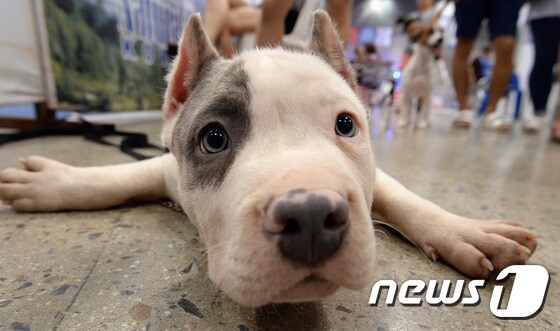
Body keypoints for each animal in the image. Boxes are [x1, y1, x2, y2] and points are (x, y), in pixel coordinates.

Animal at [0, 12, 536, 308]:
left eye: (346, 125)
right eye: (214, 138)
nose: (311, 216)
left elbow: (404, 196)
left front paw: (463, 230)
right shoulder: (166, 166)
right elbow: (115, 177)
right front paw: (53, 184)